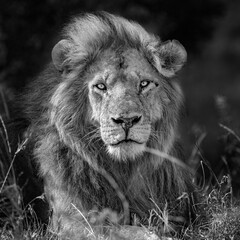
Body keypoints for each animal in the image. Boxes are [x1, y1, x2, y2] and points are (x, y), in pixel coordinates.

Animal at [21, 11, 200, 238]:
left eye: (144, 84)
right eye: (101, 86)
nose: (126, 120)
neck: (123, 170)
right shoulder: (69, 222)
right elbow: (123, 230)